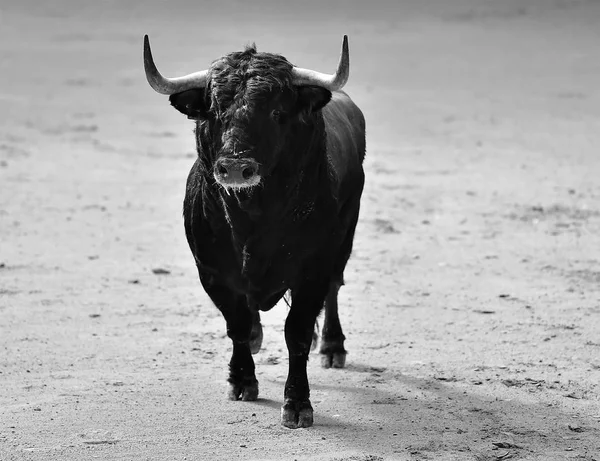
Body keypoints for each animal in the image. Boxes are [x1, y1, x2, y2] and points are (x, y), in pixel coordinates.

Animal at [143, 36, 366, 428]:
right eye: (213, 112)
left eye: (276, 113)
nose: (235, 168)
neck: (253, 219)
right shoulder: (213, 273)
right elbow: (238, 325)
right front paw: (241, 380)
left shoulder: (313, 270)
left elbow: (297, 332)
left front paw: (297, 403)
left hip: (344, 238)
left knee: (335, 289)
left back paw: (332, 347)